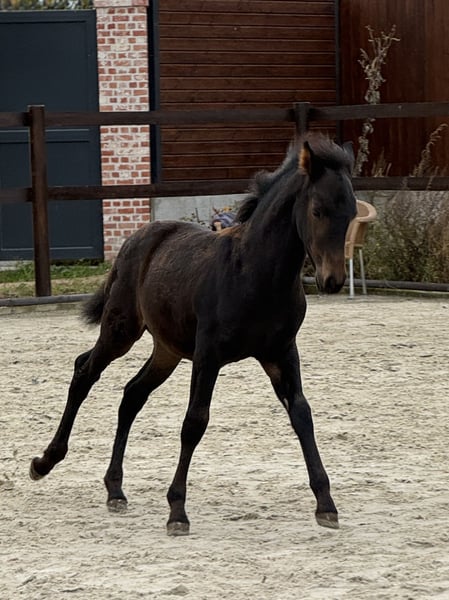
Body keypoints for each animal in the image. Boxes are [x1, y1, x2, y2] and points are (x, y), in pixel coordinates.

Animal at [30, 133, 356, 535]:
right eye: (317, 211)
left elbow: (301, 414)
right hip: (121, 329)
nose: (333, 280)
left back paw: (115, 489)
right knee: (84, 372)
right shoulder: (208, 356)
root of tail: (136, 239)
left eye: (351, 214)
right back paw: (44, 462)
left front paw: (326, 504)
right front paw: (177, 511)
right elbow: (194, 422)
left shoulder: (281, 353)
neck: (256, 274)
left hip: (167, 349)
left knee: (132, 394)